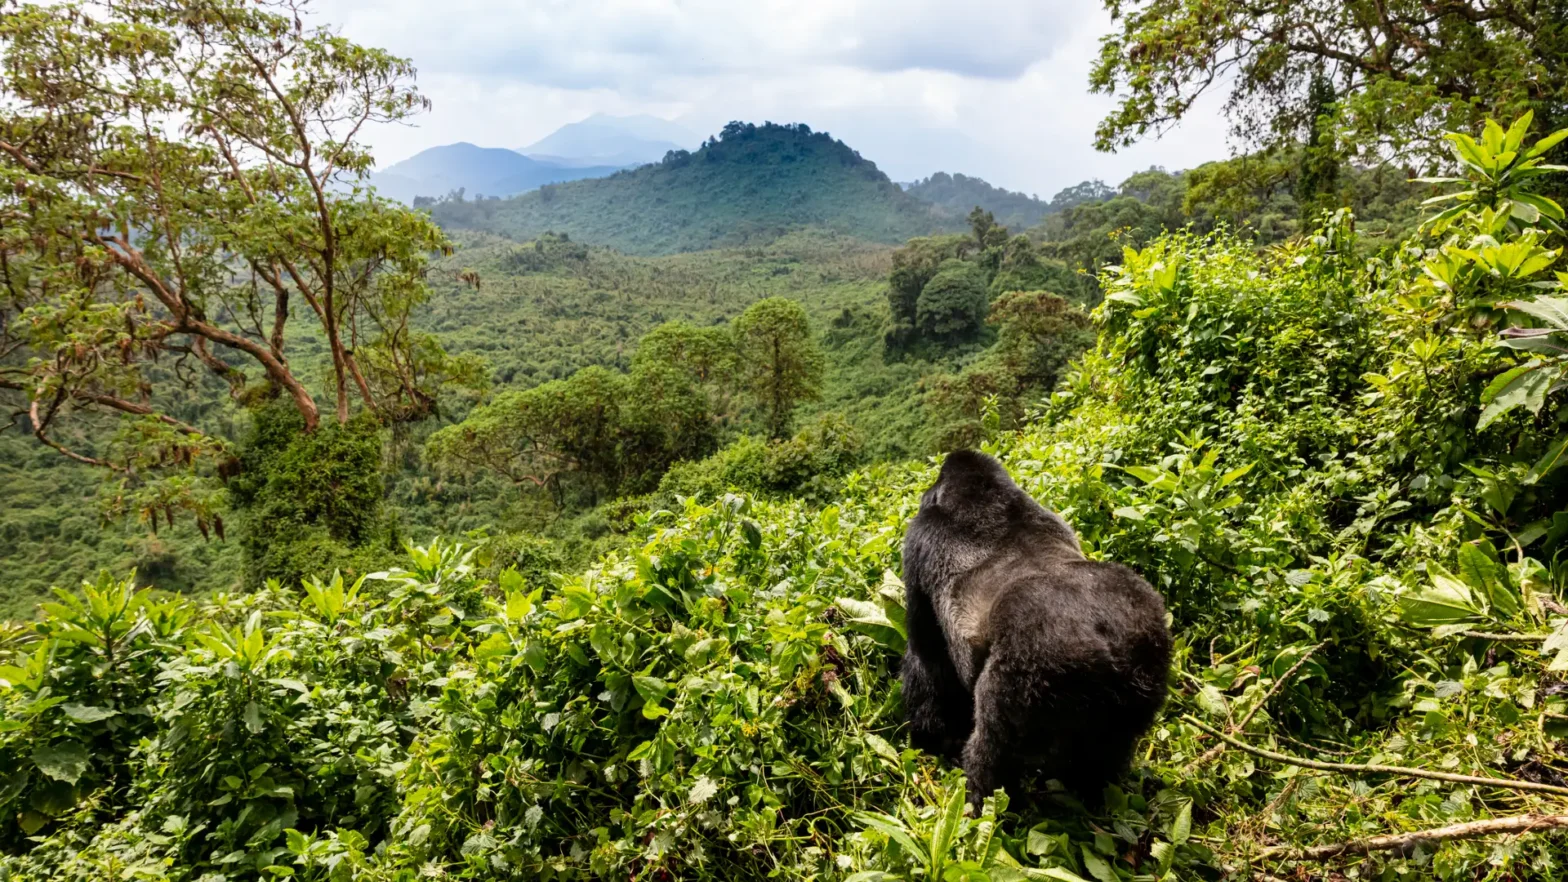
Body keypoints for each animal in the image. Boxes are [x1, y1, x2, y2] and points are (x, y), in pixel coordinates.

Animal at [900, 450, 1172, 807]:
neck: (985, 498)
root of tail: (1109, 646)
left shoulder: (918, 540)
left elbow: (926, 657)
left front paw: (931, 738)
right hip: (1148, 658)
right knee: (1107, 752)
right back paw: (1093, 791)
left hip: (1030, 670)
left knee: (993, 750)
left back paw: (983, 801)